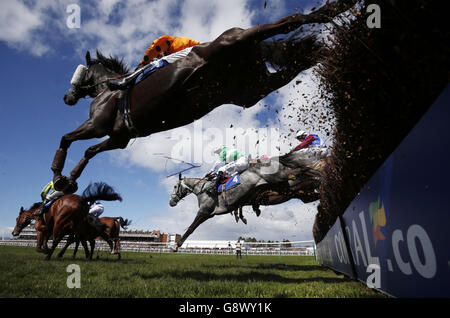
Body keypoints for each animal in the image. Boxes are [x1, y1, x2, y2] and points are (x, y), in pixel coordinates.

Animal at [49, 0, 356, 194]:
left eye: (78, 74)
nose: (66, 97)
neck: (107, 91)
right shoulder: (119, 137)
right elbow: (89, 152)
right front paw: (69, 181)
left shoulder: (97, 125)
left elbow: (66, 138)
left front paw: (58, 176)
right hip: (253, 88)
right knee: (302, 58)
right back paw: (336, 55)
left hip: (234, 40)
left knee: (287, 22)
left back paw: (335, 10)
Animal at [169, 148, 326, 250]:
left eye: (175, 186)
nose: (171, 202)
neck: (203, 189)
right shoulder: (209, 214)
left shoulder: (204, 211)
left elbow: (191, 228)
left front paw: (176, 245)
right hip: (299, 193)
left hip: (281, 177)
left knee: (301, 170)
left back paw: (320, 175)